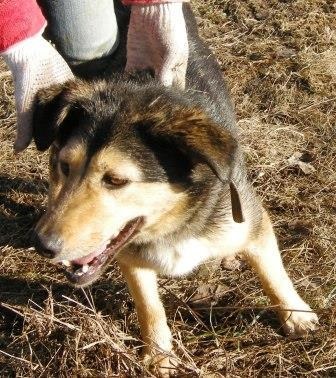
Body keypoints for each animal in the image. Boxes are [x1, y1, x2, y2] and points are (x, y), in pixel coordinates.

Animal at [32, 2, 318, 376]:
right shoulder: (129, 256)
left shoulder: (250, 223)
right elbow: (149, 306)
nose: (42, 245)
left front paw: (295, 314)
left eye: (116, 180)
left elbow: (273, 273)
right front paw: (158, 355)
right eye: (65, 166)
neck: (173, 222)